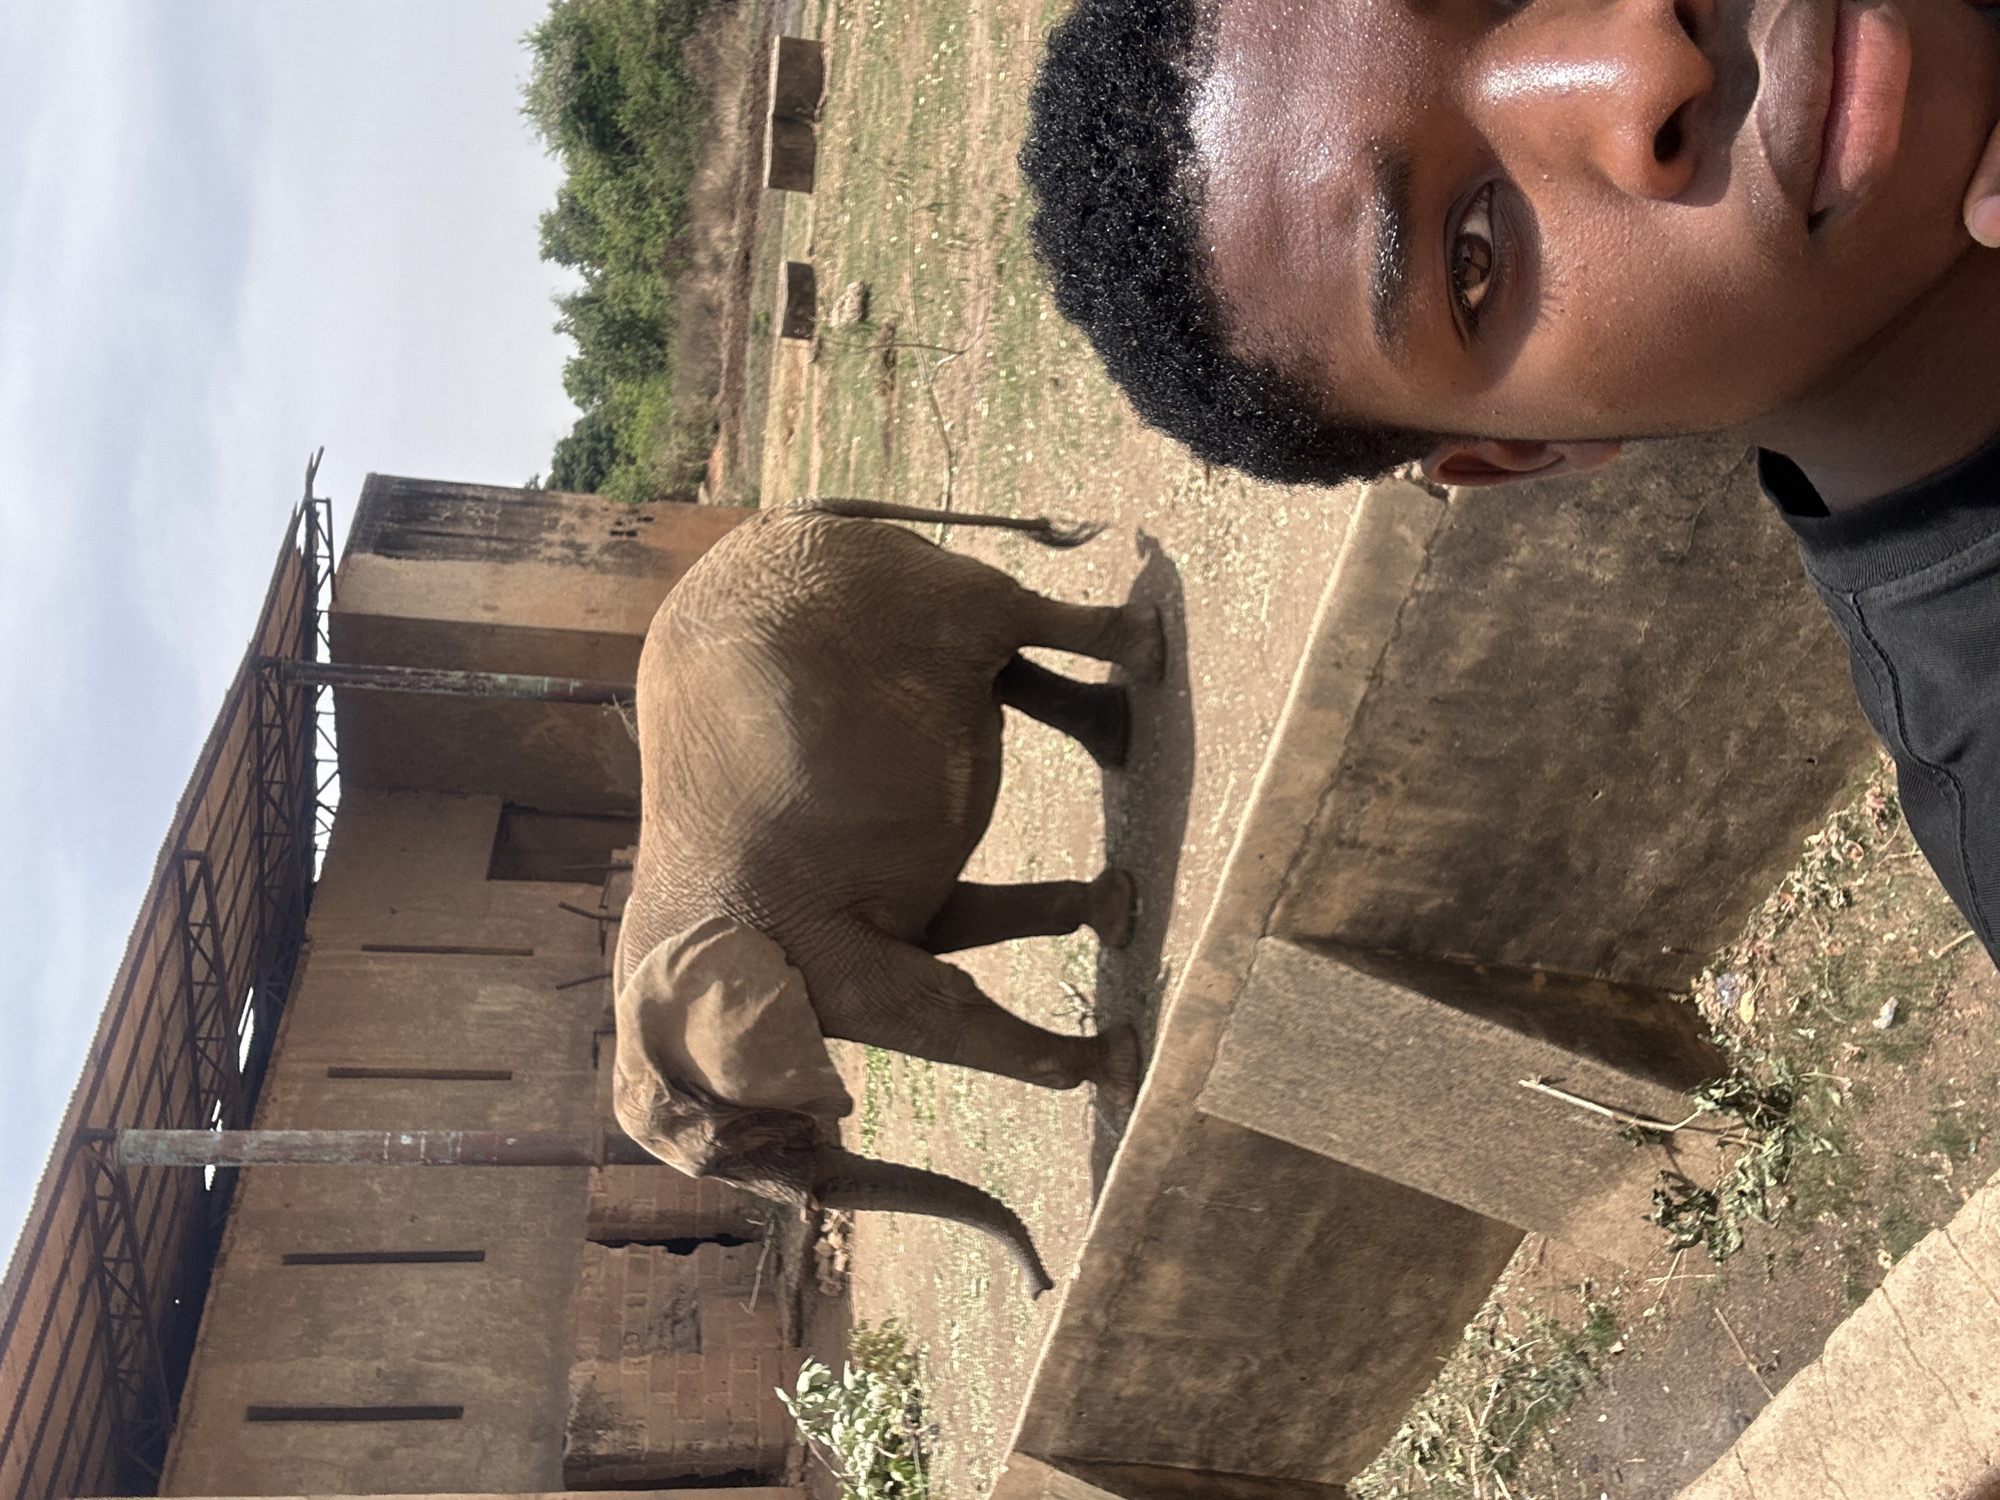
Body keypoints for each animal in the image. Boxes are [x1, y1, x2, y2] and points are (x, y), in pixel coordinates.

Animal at [611, 498, 1162, 1295]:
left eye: (744, 1141)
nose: (1046, 1288)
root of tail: (784, 511)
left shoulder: (807, 945)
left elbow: (931, 1006)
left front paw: (1121, 1072)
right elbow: (945, 921)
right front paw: (1118, 911)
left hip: (873, 589)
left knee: (1004, 616)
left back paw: (1147, 649)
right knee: (998, 669)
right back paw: (1117, 731)